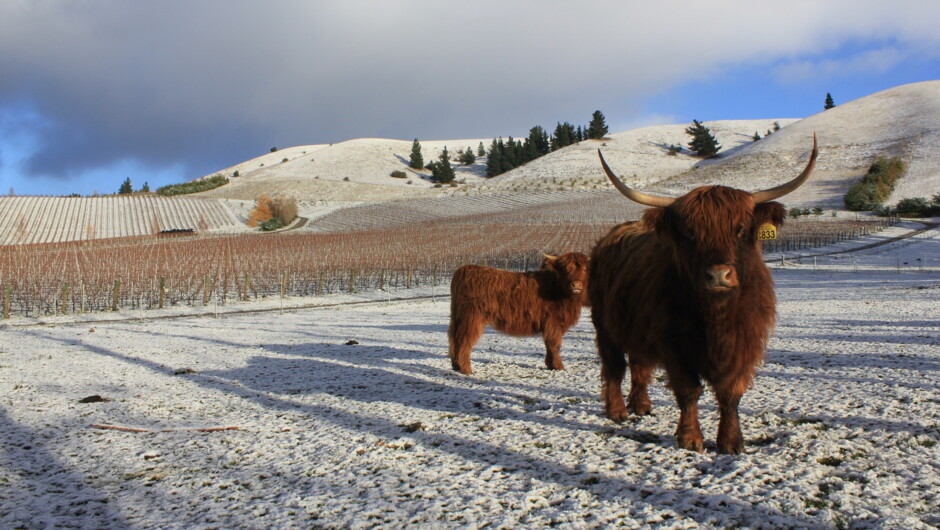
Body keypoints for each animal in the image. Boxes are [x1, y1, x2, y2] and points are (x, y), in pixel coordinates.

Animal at [588, 134, 816, 452]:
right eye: (690, 234)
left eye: (740, 229)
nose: (718, 274)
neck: (716, 318)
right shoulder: (673, 344)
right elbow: (689, 391)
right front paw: (690, 438)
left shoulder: (746, 343)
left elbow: (731, 393)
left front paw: (731, 442)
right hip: (605, 327)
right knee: (614, 367)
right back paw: (617, 411)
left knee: (639, 363)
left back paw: (642, 405)